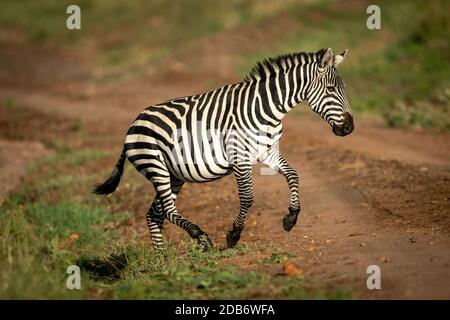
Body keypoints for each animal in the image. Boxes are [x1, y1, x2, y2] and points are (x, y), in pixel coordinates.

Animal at [94, 47, 356, 250]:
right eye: (331, 90)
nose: (349, 128)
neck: (267, 109)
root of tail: (134, 121)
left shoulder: (268, 152)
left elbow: (293, 175)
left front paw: (291, 217)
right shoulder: (240, 157)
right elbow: (248, 197)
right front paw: (233, 235)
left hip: (173, 173)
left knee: (155, 213)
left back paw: (161, 259)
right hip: (154, 165)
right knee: (167, 210)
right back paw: (201, 238)